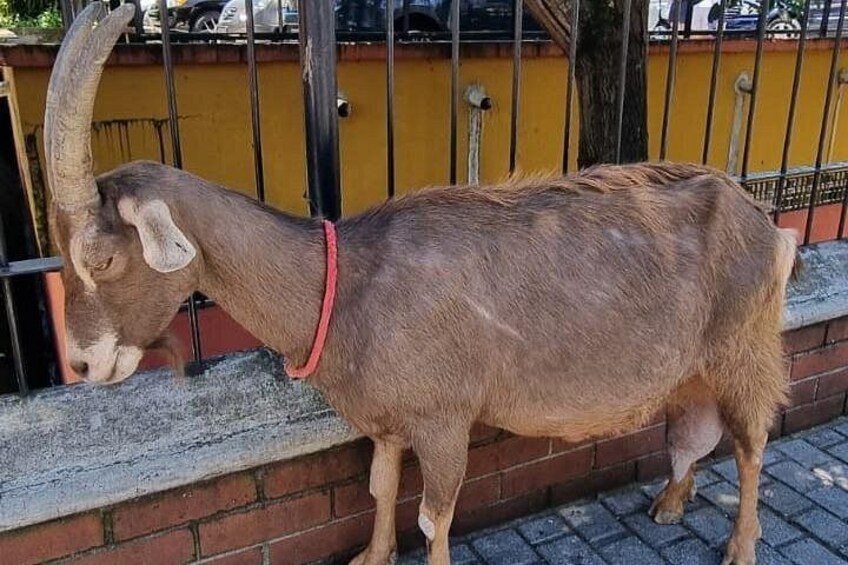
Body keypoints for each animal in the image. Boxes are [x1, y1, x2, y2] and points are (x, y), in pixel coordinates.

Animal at [46, 5, 797, 565]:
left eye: (102, 258)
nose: (81, 363)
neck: (347, 283)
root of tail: (769, 225)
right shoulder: (388, 421)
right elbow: (380, 489)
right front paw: (369, 556)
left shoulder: (444, 418)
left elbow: (435, 518)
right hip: (695, 368)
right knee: (692, 431)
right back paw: (670, 502)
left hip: (748, 350)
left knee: (751, 444)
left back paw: (741, 544)